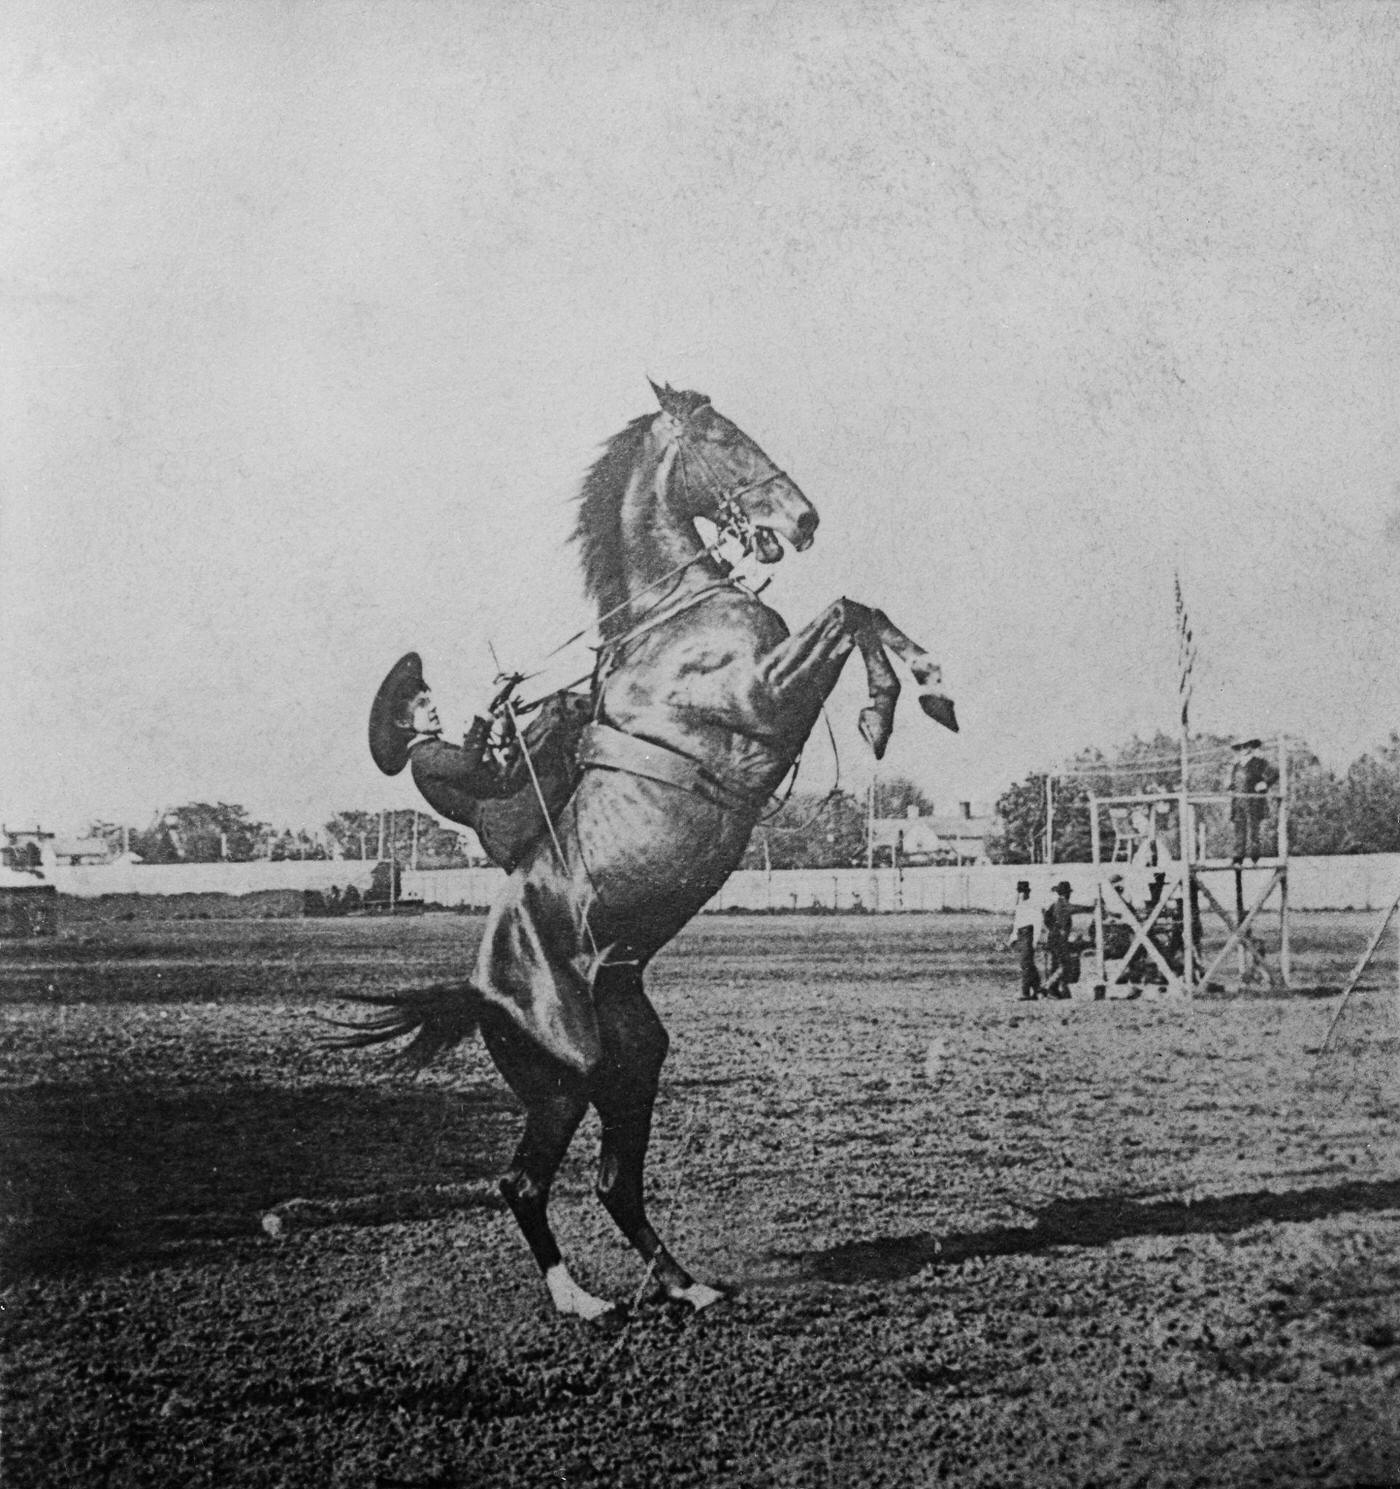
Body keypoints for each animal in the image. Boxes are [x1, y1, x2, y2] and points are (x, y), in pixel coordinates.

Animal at [355, 387, 959, 1328]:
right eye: (723, 436)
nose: (803, 519)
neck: (679, 617)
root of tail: (480, 989)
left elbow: (859, 607)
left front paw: (926, 685)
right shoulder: (764, 693)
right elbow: (846, 611)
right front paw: (899, 699)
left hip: (634, 1063)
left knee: (615, 1182)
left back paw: (686, 1282)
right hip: (566, 1079)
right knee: (523, 1182)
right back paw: (582, 1300)